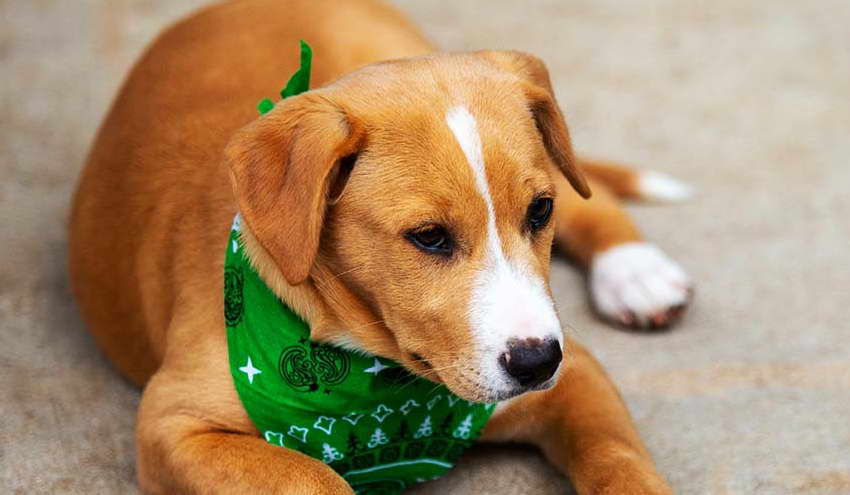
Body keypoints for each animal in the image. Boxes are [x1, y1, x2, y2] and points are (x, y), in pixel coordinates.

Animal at [68, 0, 688, 492]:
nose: (536, 362)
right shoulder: (173, 424)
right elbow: (308, 475)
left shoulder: (577, 374)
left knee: (590, 191)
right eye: (429, 237)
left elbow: (619, 457)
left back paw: (635, 271)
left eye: (539, 212)